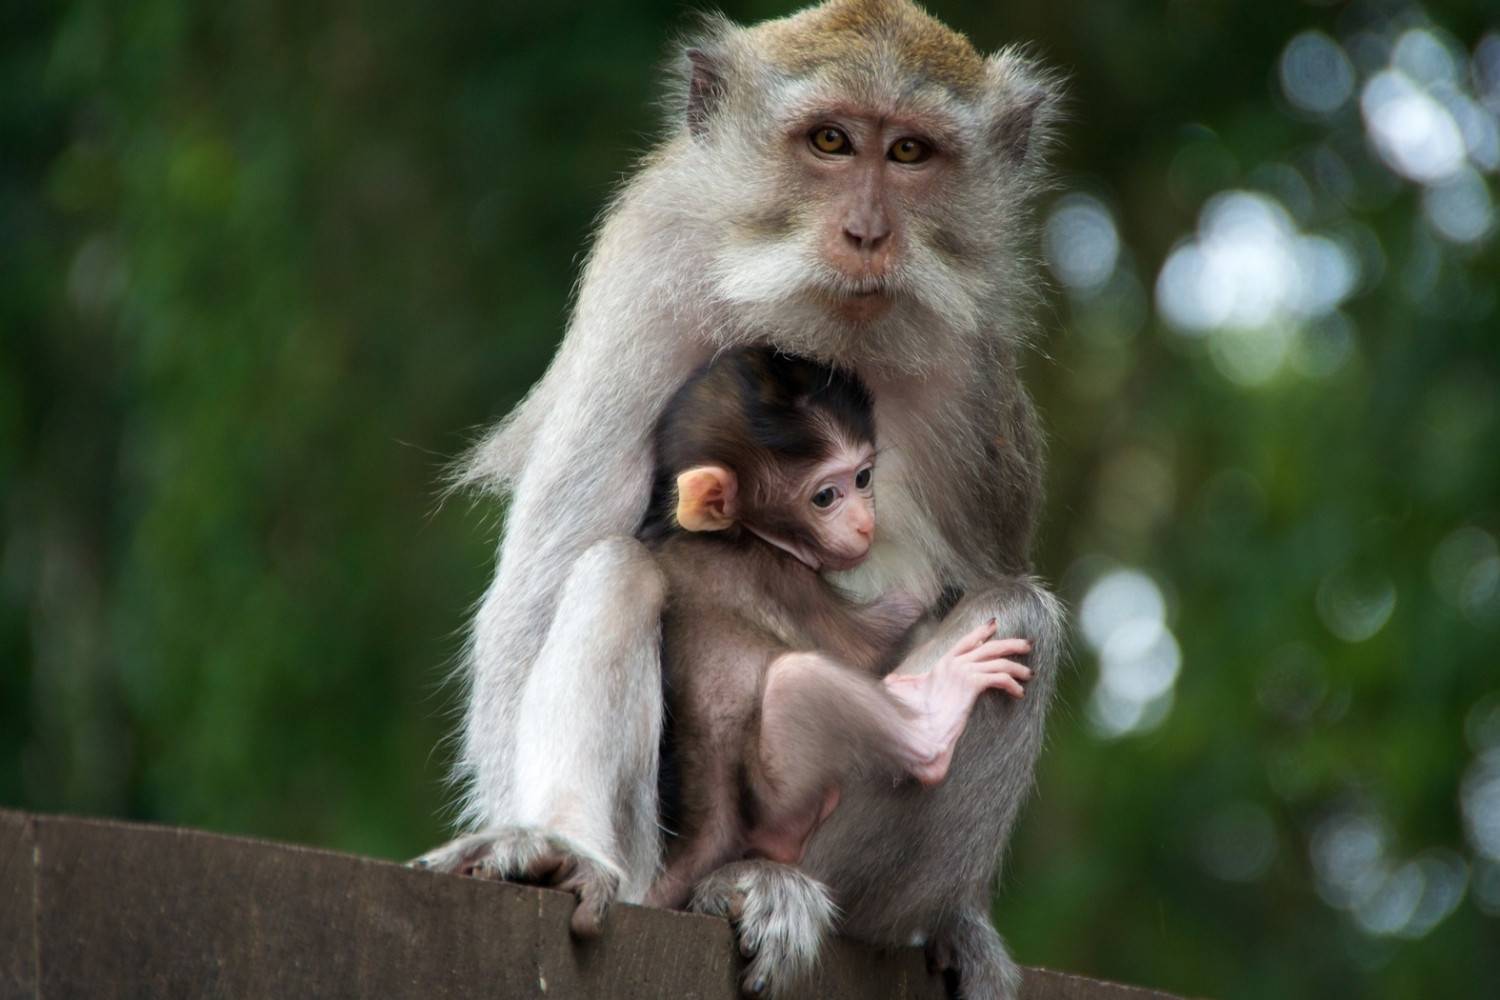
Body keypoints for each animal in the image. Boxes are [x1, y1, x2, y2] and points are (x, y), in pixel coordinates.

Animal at [633, 347, 1032, 911]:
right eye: (825, 496)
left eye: (863, 479)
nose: (865, 524)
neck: (737, 533)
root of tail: (708, 830)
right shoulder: (782, 578)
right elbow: (864, 645)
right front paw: (931, 586)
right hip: (779, 804)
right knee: (798, 680)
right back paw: (933, 716)